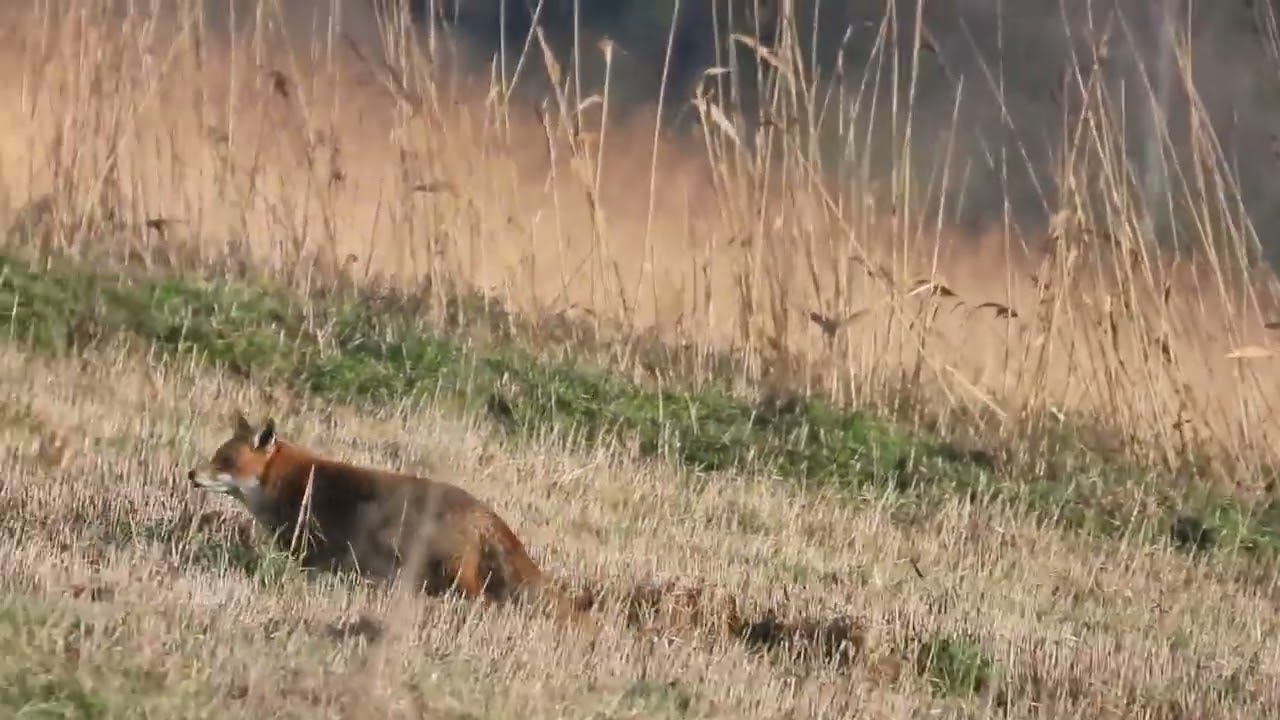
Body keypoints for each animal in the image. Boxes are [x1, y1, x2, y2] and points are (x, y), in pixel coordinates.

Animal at [187, 411, 593, 625]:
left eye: (225, 462)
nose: (192, 474)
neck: (290, 482)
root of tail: (481, 509)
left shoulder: (311, 549)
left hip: (452, 574)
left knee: (484, 602)